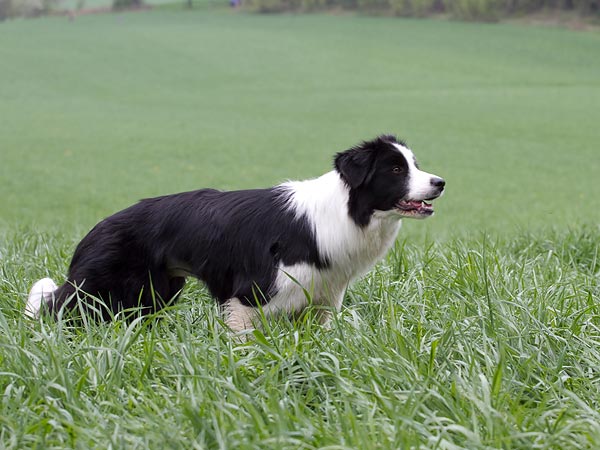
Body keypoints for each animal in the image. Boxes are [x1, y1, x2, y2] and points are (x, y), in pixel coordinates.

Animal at [26, 135, 445, 331]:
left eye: (415, 164)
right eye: (395, 169)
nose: (440, 183)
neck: (343, 213)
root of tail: (96, 228)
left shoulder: (321, 302)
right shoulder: (250, 298)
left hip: (153, 294)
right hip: (98, 291)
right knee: (57, 309)